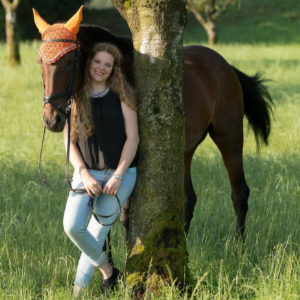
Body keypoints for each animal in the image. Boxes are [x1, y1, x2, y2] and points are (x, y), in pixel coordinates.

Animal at [34, 8, 274, 255]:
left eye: (70, 60)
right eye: (40, 62)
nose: (52, 119)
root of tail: (226, 66)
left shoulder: (130, 160)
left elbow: (123, 216)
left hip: (230, 138)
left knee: (240, 193)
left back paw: (239, 249)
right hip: (183, 150)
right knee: (189, 200)